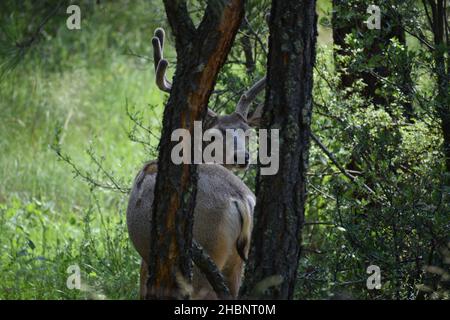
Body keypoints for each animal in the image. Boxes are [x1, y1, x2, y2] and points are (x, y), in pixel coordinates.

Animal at [126, 28, 266, 300]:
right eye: (212, 136)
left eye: (247, 133)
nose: (242, 157)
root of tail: (240, 198)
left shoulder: (147, 259)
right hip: (236, 261)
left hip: (204, 250)